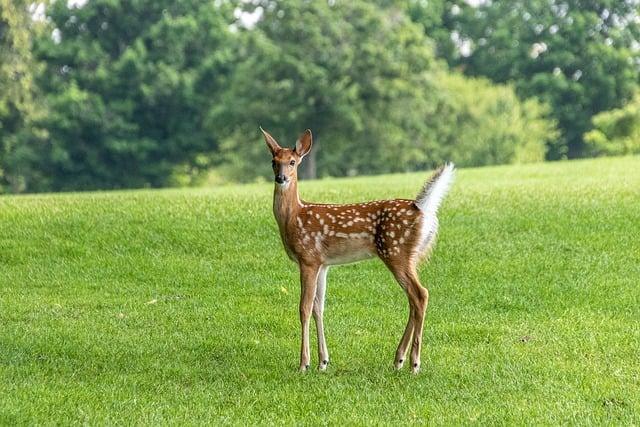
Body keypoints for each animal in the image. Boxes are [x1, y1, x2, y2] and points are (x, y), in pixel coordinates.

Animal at [262, 127, 456, 374]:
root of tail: (422, 208)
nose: (281, 178)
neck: (294, 217)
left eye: (293, 162)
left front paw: (304, 363)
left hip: (396, 252)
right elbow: (318, 307)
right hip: (411, 256)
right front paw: (323, 362)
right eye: (273, 161)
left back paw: (414, 363)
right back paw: (398, 359)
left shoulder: (308, 258)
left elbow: (304, 308)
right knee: (414, 299)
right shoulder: (323, 264)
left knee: (420, 294)